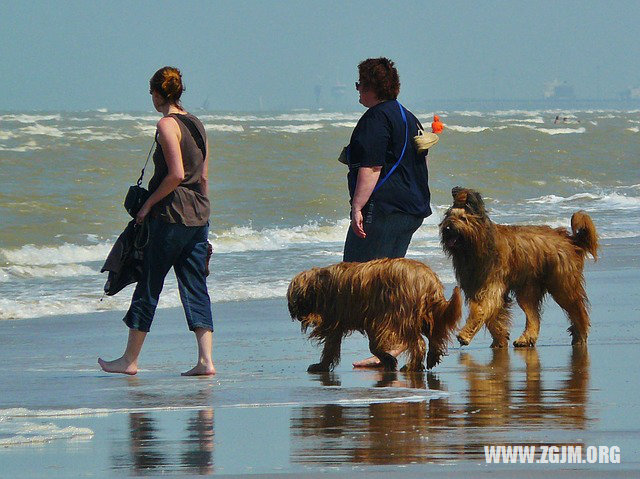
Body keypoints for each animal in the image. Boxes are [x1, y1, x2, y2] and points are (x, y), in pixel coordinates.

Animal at [288, 256, 462, 374]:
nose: (296, 315)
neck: (321, 285)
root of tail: (428, 277)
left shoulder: (375, 318)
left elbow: (374, 345)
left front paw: (388, 359)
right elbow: (331, 346)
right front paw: (322, 366)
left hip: (403, 315)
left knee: (418, 342)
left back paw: (412, 365)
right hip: (424, 314)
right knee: (435, 332)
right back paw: (432, 356)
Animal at [440, 188, 600, 348]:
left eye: (463, 218)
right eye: (448, 216)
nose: (447, 228)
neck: (476, 247)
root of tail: (570, 239)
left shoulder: (492, 285)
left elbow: (481, 309)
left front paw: (465, 335)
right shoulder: (476, 286)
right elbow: (494, 318)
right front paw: (499, 340)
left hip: (562, 283)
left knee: (577, 310)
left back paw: (580, 336)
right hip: (528, 288)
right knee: (533, 315)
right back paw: (526, 338)